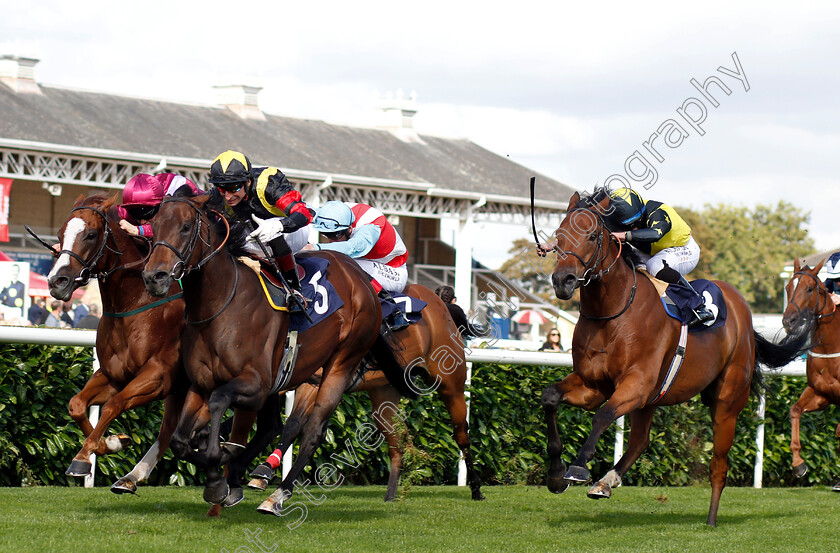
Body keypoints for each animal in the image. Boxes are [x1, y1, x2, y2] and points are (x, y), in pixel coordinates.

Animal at [44, 192, 187, 490]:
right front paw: (110, 443)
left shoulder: (157, 376)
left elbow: (114, 404)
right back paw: (132, 477)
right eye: (61, 234)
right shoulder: (114, 374)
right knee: (169, 429)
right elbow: (76, 404)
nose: (57, 281)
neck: (134, 305)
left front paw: (83, 456)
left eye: (90, 234)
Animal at [141, 192, 384, 506]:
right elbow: (181, 440)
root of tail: (360, 277)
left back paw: (278, 494)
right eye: (154, 226)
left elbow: (220, 402)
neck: (220, 304)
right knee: (275, 427)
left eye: (185, 227)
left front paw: (219, 463)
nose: (154, 277)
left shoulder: (256, 383)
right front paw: (218, 474)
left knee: (313, 431)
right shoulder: (201, 383)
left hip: (341, 364)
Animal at [248, 284, 486, 512]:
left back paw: (476, 489)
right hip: (384, 395)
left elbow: (293, 424)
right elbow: (290, 424)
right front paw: (262, 471)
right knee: (397, 440)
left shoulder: (317, 379)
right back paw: (391, 495)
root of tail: (440, 304)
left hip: (451, 385)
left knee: (461, 434)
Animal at [540, 191, 808, 528]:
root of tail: (742, 311)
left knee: (719, 464)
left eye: (591, 236)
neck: (613, 311)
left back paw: (711, 519)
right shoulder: (593, 385)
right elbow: (551, 397)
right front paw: (555, 474)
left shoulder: (636, 384)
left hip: (726, 402)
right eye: (559, 236)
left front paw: (577, 468)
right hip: (653, 400)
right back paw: (606, 481)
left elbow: (603, 415)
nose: (563, 280)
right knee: (640, 441)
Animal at [780, 258, 840, 488]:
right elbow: (795, 410)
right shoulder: (821, 393)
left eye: (809, 288)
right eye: (788, 287)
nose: (788, 321)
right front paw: (798, 464)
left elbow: (839, 431)